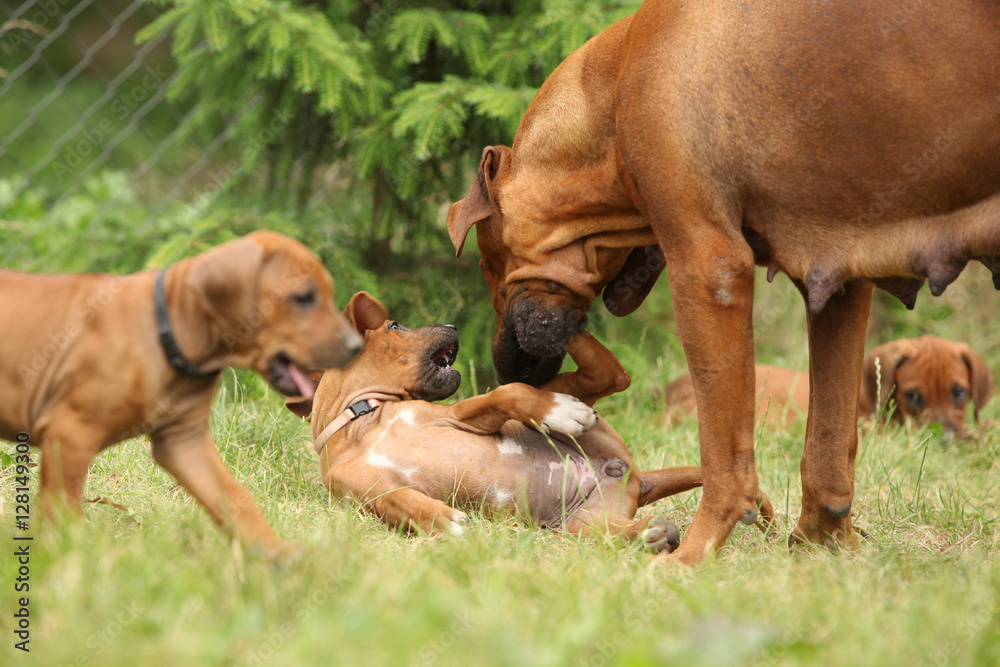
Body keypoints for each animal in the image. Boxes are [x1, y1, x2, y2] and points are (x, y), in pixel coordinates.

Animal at [0, 230, 366, 560]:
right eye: (304, 297)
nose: (357, 347)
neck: (167, 332)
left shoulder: (184, 442)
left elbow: (234, 498)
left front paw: (276, 555)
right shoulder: (71, 433)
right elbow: (61, 510)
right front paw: (63, 560)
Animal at [290, 294, 720, 552]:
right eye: (396, 326)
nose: (453, 326)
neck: (362, 423)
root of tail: (633, 478)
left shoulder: (457, 414)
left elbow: (505, 392)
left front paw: (558, 412)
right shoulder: (367, 491)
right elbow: (401, 500)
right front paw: (442, 520)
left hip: (579, 402)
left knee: (609, 376)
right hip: (580, 527)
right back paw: (650, 533)